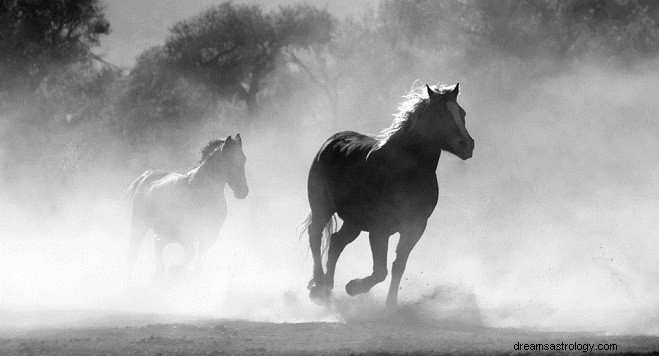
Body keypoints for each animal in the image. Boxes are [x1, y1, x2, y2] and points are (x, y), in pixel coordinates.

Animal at [125, 134, 248, 280]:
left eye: (244, 159)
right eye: (229, 161)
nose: (243, 191)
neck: (202, 192)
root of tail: (146, 176)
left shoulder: (210, 235)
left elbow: (198, 263)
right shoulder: (185, 234)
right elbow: (191, 255)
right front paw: (175, 270)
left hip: (168, 233)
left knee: (157, 243)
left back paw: (159, 274)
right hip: (140, 224)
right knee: (133, 252)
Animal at [304, 82, 474, 306]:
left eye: (462, 113)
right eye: (439, 114)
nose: (467, 145)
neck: (405, 170)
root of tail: (331, 142)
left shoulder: (415, 227)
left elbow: (398, 266)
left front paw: (390, 305)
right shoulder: (380, 229)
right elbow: (380, 271)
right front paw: (353, 287)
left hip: (354, 221)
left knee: (336, 242)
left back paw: (327, 287)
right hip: (322, 208)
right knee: (315, 235)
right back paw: (318, 285)